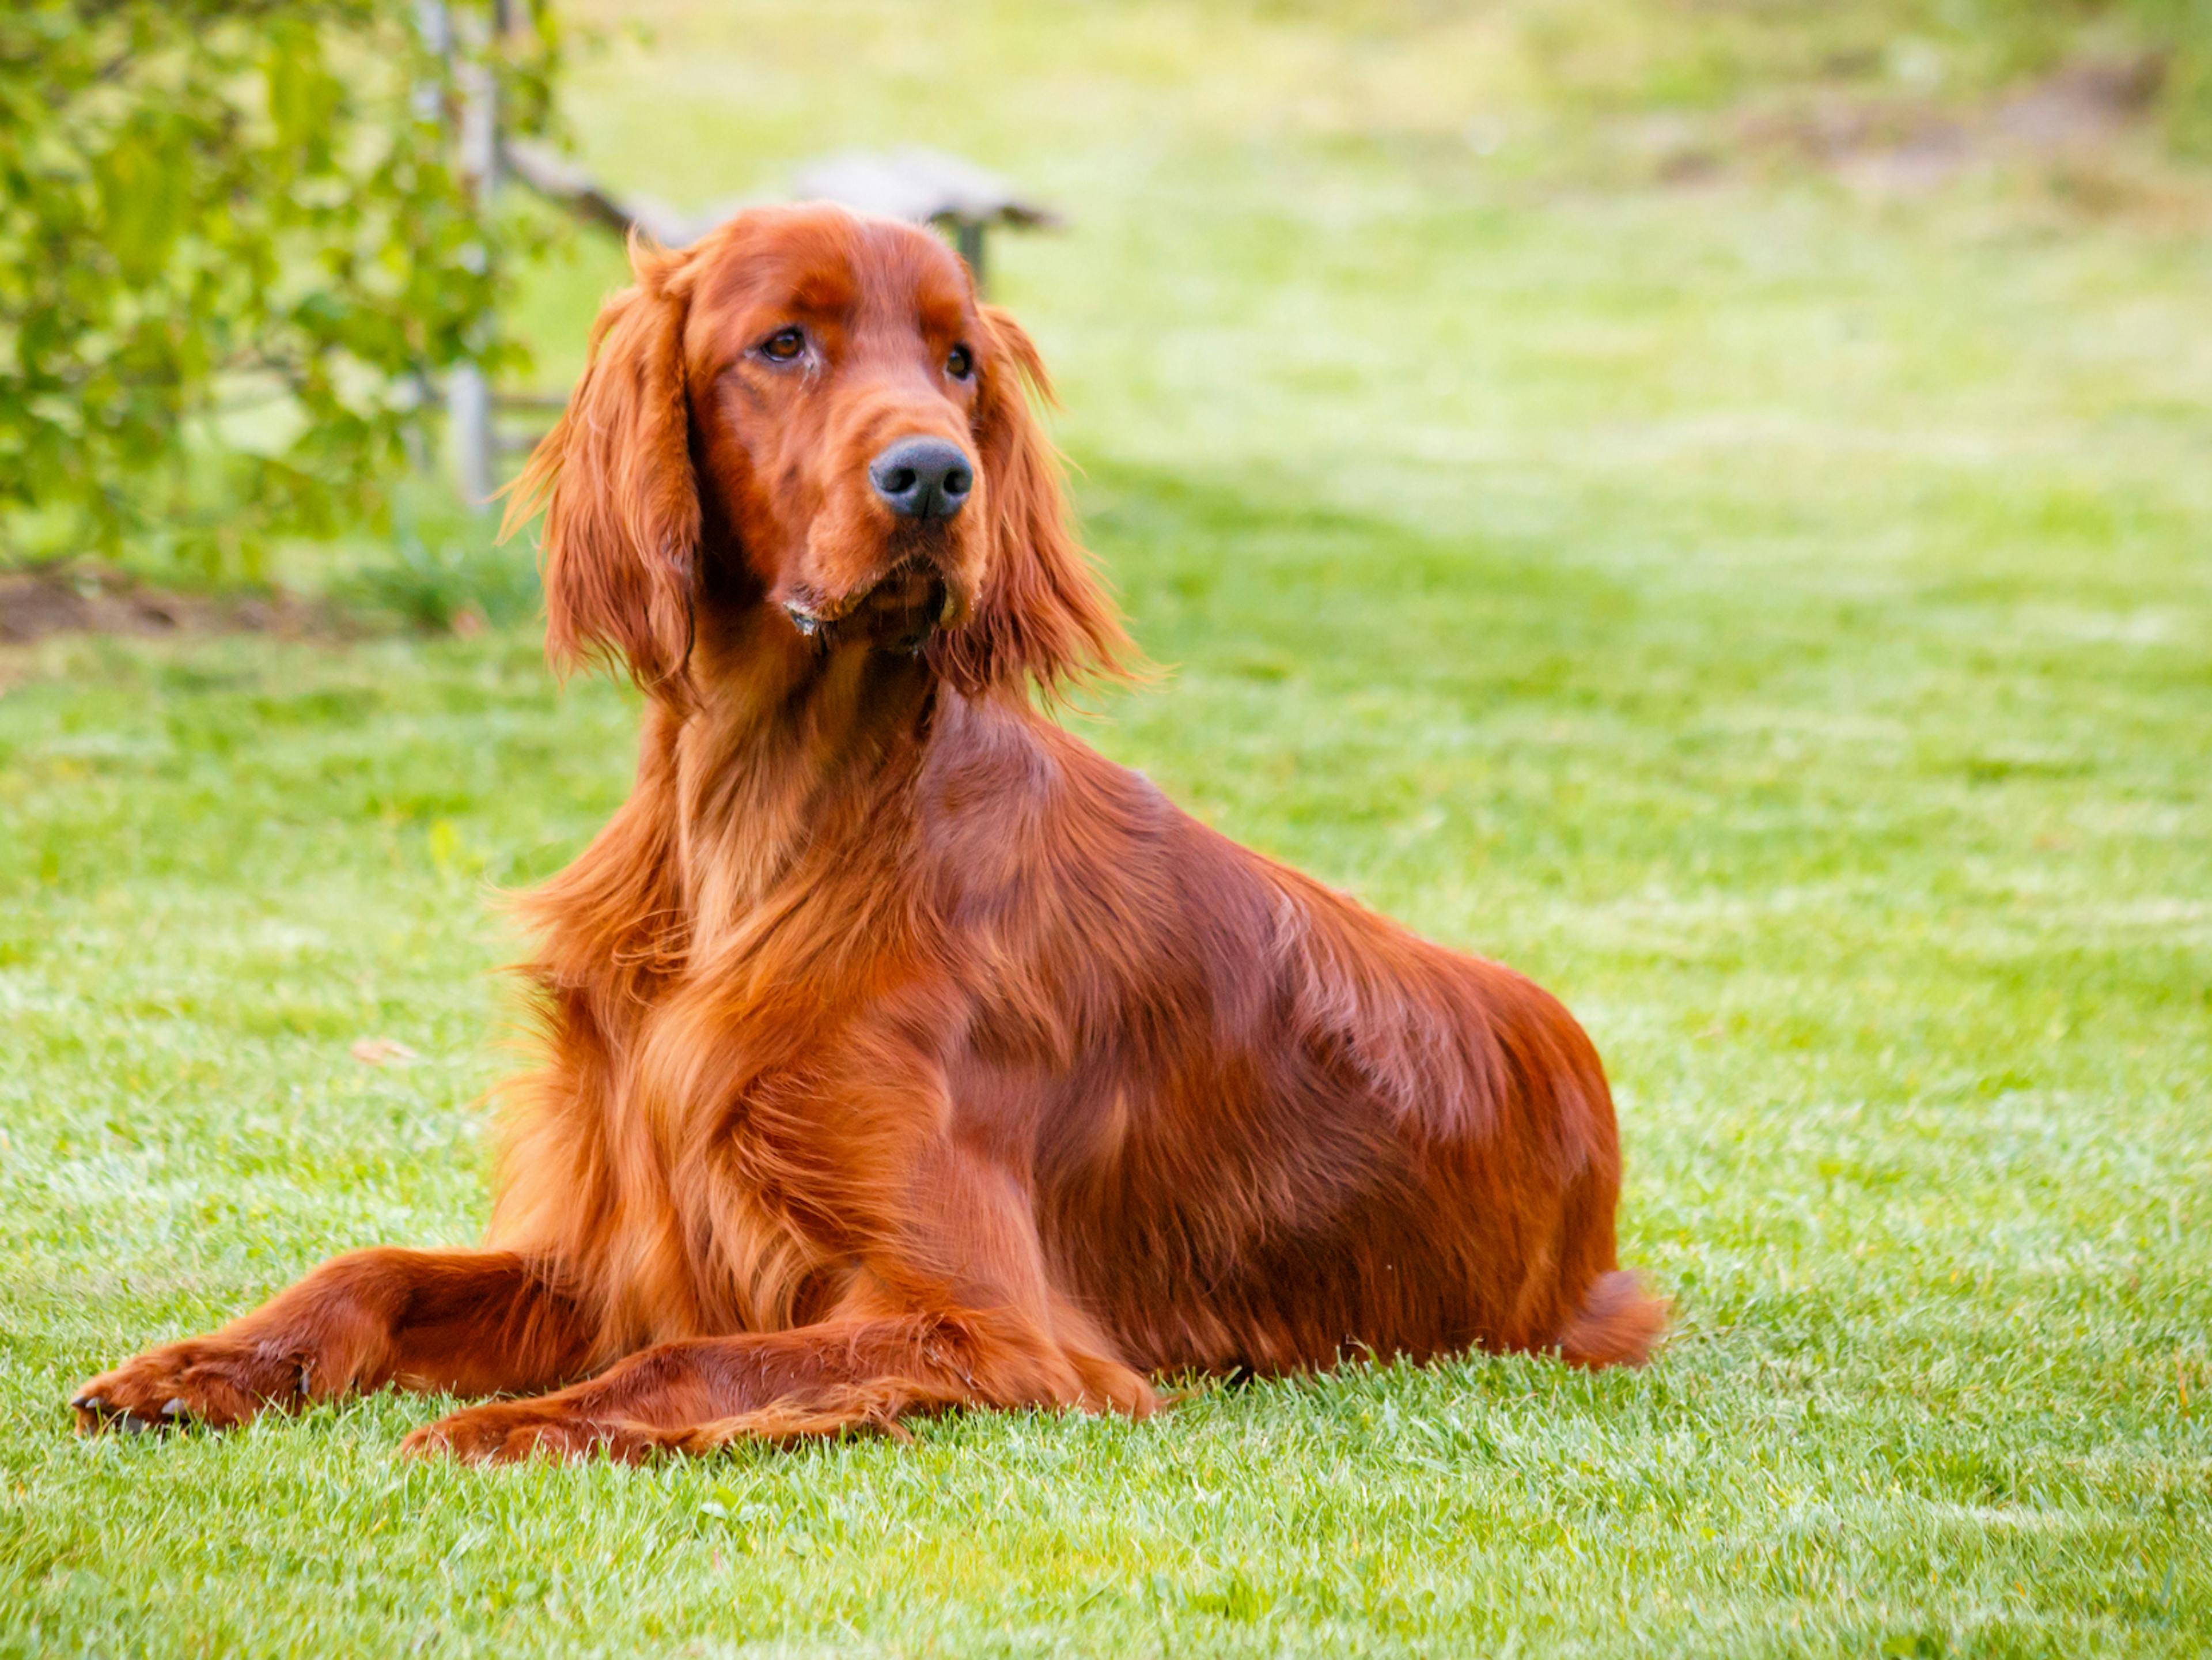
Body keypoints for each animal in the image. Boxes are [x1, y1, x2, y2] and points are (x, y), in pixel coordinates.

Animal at [69, 201, 1663, 1461]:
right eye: (783, 344)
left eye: (959, 361)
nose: (935, 476)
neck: (772, 820)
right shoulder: (629, 1242)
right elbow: (378, 1266)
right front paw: (204, 1363)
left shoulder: (990, 1325)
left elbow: (687, 1359)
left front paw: (509, 1423)